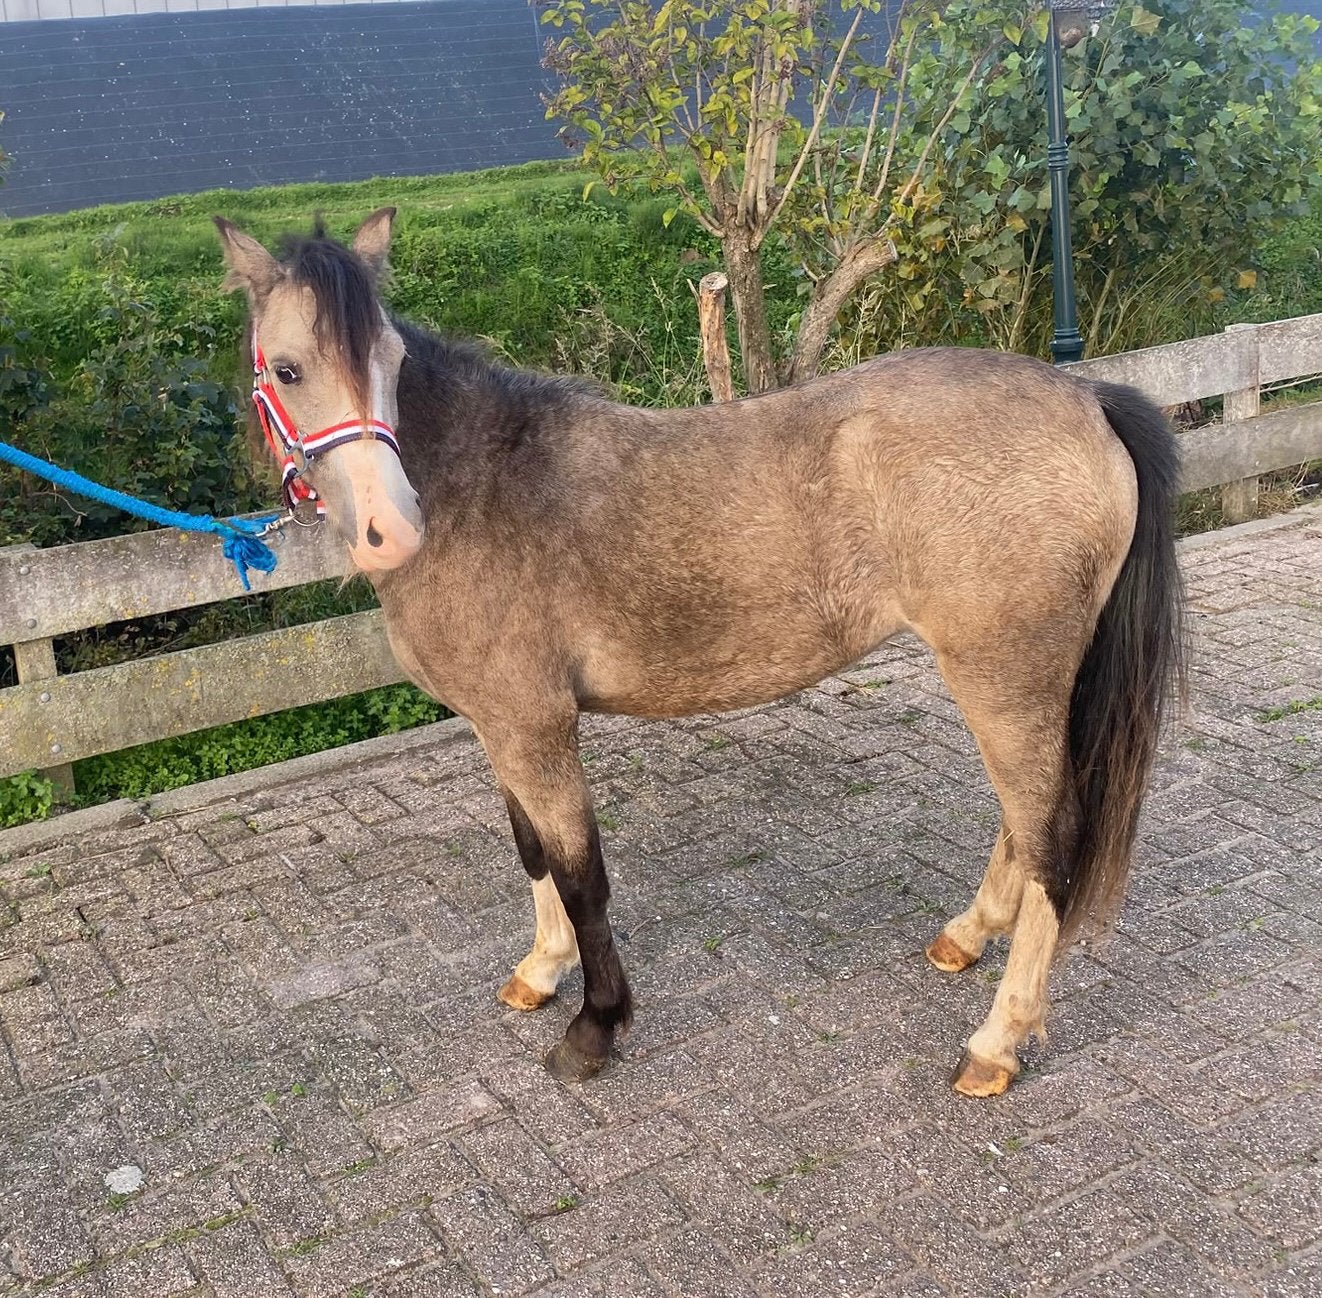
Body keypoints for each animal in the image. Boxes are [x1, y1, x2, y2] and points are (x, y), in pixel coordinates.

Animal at [212, 208, 1184, 1097]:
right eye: (288, 369)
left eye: (391, 362)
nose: (391, 529)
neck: (482, 488)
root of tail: (1088, 400)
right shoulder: (501, 728)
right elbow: (535, 854)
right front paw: (541, 971)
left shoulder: (535, 726)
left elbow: (582, 874)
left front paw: (595, 1027)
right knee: (1023, 829)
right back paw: (967, 937)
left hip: (1007, 678)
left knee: (1050, 840)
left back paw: (996, 1043)